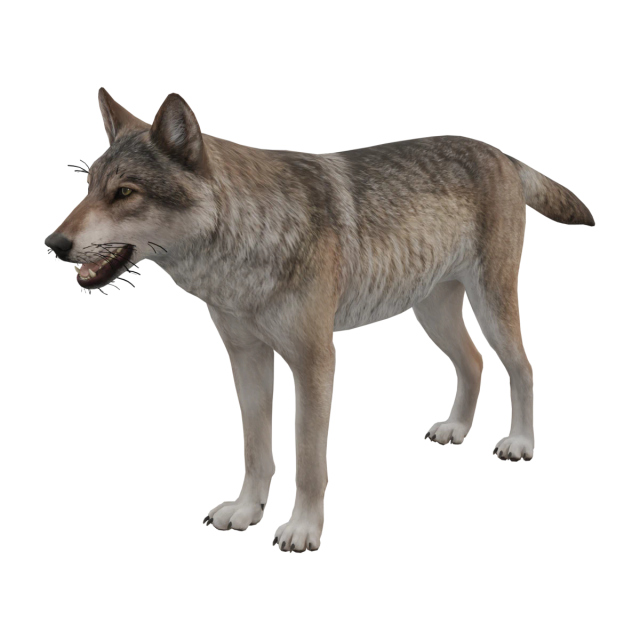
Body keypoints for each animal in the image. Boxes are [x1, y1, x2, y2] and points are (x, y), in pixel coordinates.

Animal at [44, 88, 597, 552]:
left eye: (125, 193)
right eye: (89, 189)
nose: (52, 244)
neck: (248, 241)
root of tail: (500, 152)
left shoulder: (314, 363)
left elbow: (309, 458)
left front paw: (303, 529)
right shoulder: (246, 361)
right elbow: (256, 448)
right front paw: (246, 511)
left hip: (491, 307)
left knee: (523, 368)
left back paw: (521, 444)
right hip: (432, 315)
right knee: (475, 362)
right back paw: (456, 430)